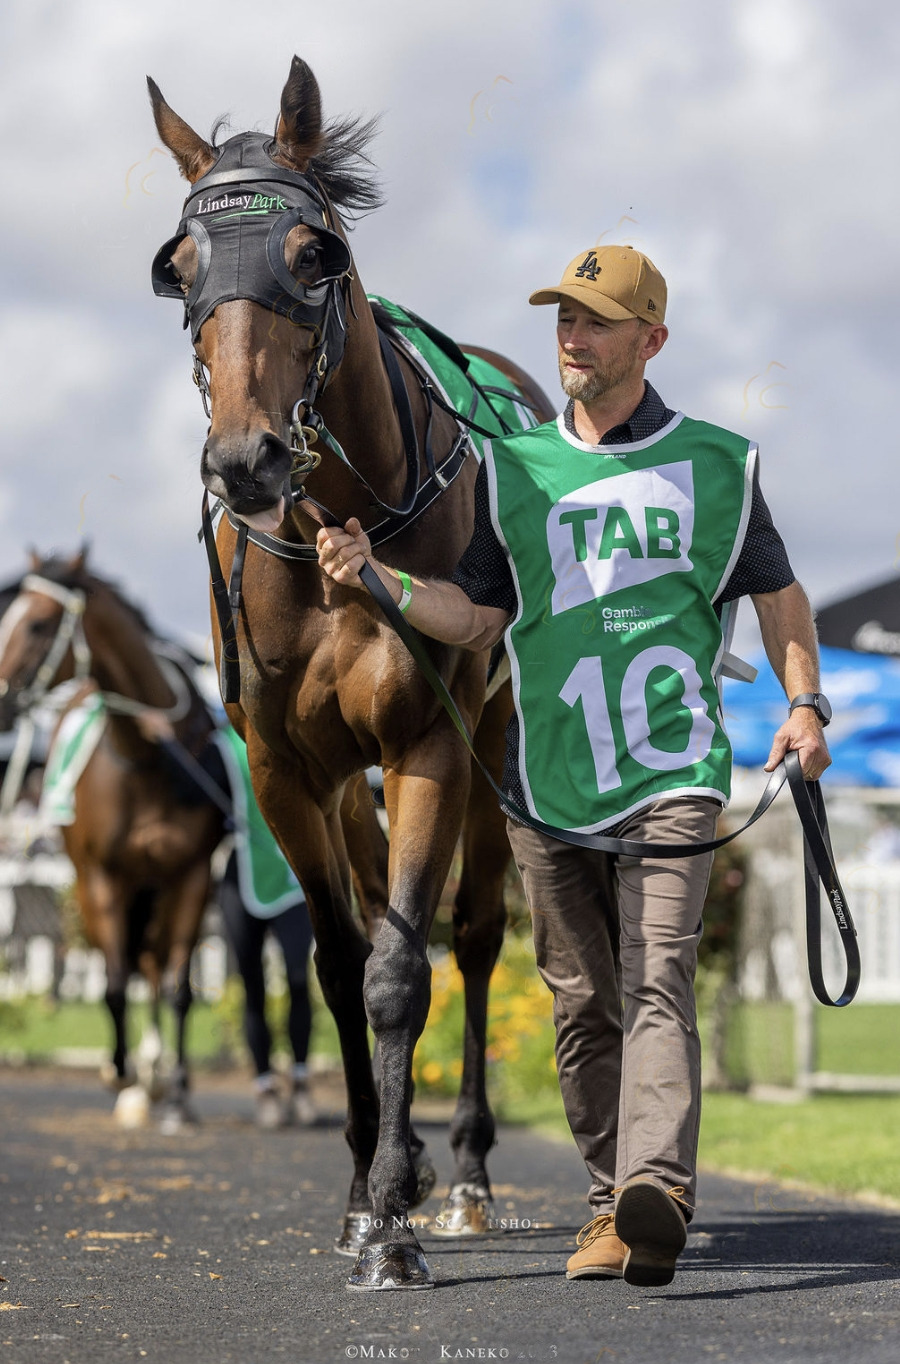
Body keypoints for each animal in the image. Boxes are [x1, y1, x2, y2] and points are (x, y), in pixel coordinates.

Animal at [0, 548, 229, 1123]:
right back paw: (138, 1079)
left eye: (38, 624)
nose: (1, 702)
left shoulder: (192, 876)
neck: (148, 756)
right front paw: (121, 1073)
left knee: (154, 965)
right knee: (130, 966)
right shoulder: (103, 878)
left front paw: (177, 1089)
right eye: (7, 617)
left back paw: (157, 1076)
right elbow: (115, 984)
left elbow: (178, 987)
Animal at [148, 55, 556, 1287]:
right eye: (180, 268)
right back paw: (411, 1158)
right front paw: (365, 1188)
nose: (245, 460)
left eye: (311, 255)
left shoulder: (428, 744)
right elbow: (336, 961)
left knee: (471, 936)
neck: (340, 529)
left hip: (491, 747)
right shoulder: (286, 767)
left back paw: (460, 1173)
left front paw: (390, 1224)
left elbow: (400, 970)